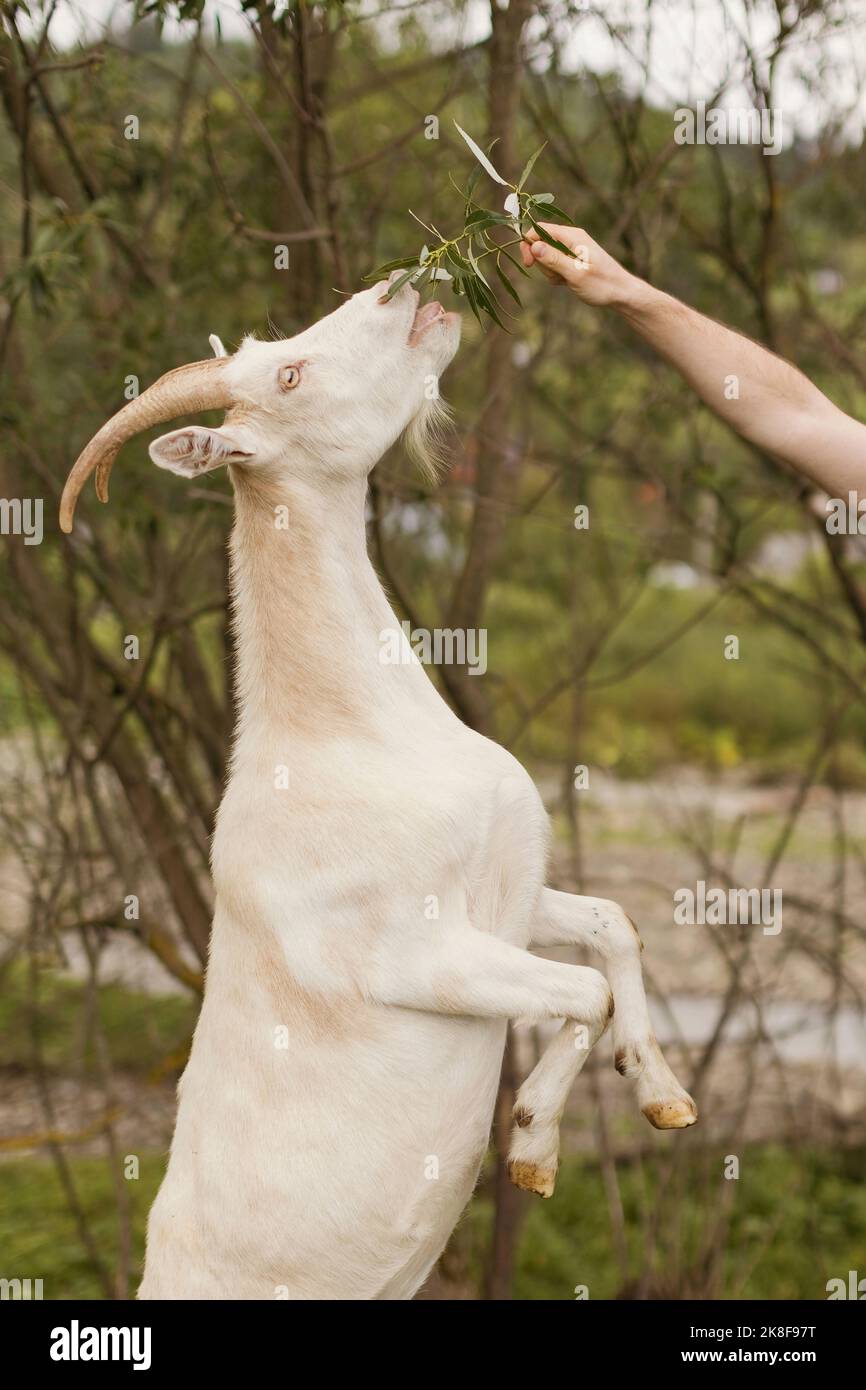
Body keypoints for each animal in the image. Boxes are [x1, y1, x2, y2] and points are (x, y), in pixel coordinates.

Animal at [61, 273, 697, 1301]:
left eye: (276, 349)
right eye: (289, 373)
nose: (406, 288)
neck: (352, 733)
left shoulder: (507, 898)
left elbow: (613, 927)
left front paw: (667, 1098)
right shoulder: (420, 954)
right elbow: (583, 993)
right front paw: (533, 1150)